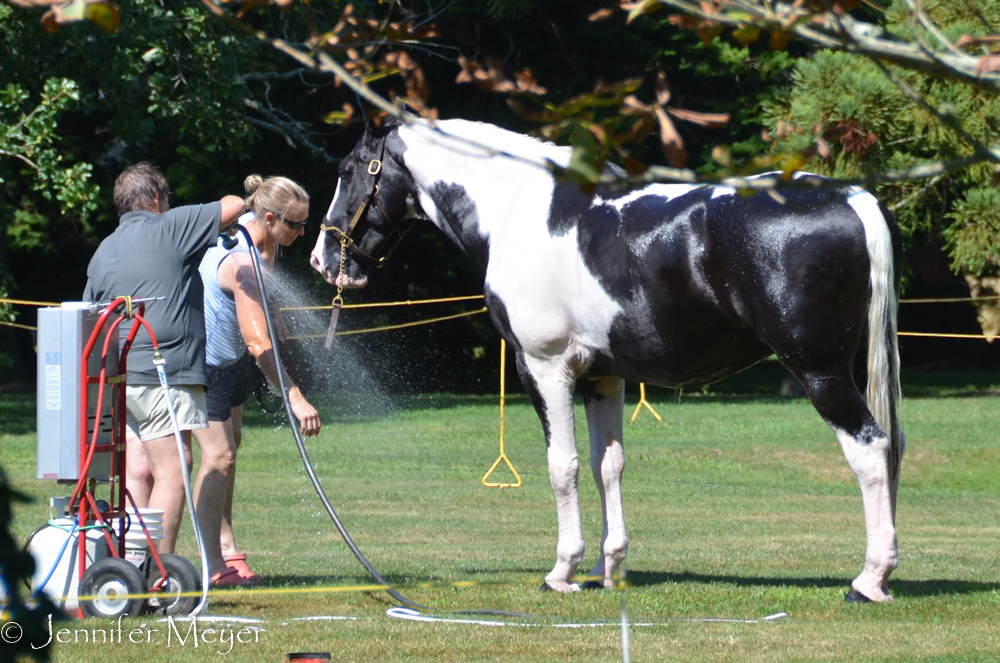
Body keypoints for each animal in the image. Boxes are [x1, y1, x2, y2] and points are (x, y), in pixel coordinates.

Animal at [312, 118, 908, 600]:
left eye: (347, 170)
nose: (321, 258)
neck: (516, 207)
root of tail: (852, 198)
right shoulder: (603, 377)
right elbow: (608, 464)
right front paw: (610, 568)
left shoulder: (544, 367)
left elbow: (564, 466)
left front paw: (563, 572)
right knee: (894, 446)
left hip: (819, 370)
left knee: (869, 448)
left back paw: (869, 580)